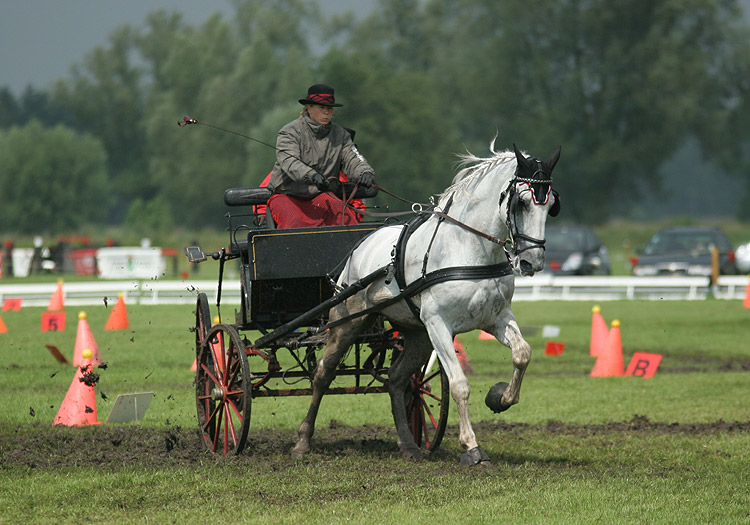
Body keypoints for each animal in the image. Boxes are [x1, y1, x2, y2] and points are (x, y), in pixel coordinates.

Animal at [290, 141, 560, 464]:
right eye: (521, 202)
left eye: (551, 205)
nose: (533, 262)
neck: (468, 249)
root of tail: (361, 245)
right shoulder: (438, 325)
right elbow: (459, 384)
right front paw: (471, 447)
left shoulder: (496, 318)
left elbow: (522, 353)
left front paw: (499, 397)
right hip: (349, 321)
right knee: (323, 373)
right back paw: (302, 441)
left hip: (416, 333)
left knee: (397, 379)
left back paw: (408, 444)